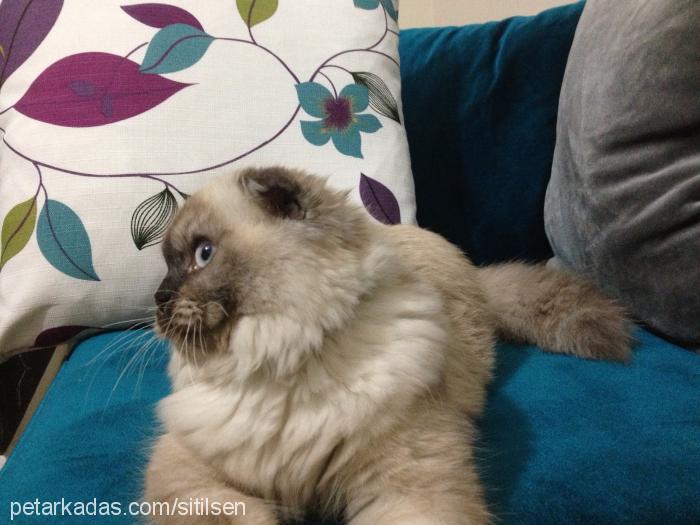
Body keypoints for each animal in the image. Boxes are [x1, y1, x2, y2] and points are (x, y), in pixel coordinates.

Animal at [142, 168, 628, 524]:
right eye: (166, 266)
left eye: (203, 255)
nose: (159, 299)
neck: (281, 363)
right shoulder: (195, 476)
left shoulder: (407, 488)